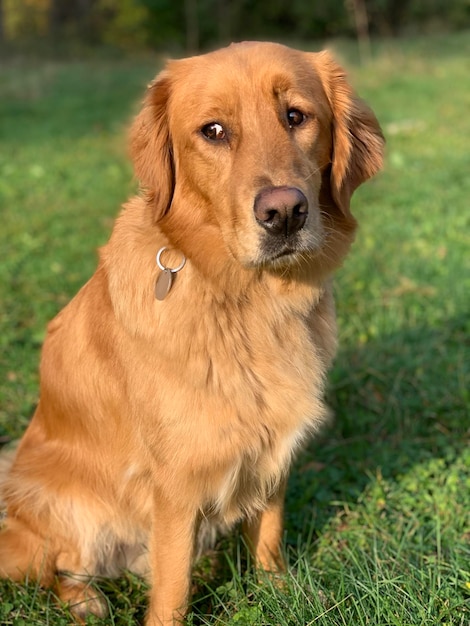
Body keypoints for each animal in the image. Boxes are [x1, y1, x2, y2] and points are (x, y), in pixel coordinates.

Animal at [0, 41, 384, 620]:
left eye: (296, 116)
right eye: (214, 131)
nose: (285, 213)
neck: (247, 299)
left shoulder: (273, 450)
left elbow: (269, 535)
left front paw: (281, 593)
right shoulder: (175, 482)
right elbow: (174, 584)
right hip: (64, 507)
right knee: (53, 566)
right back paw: (87, 601)